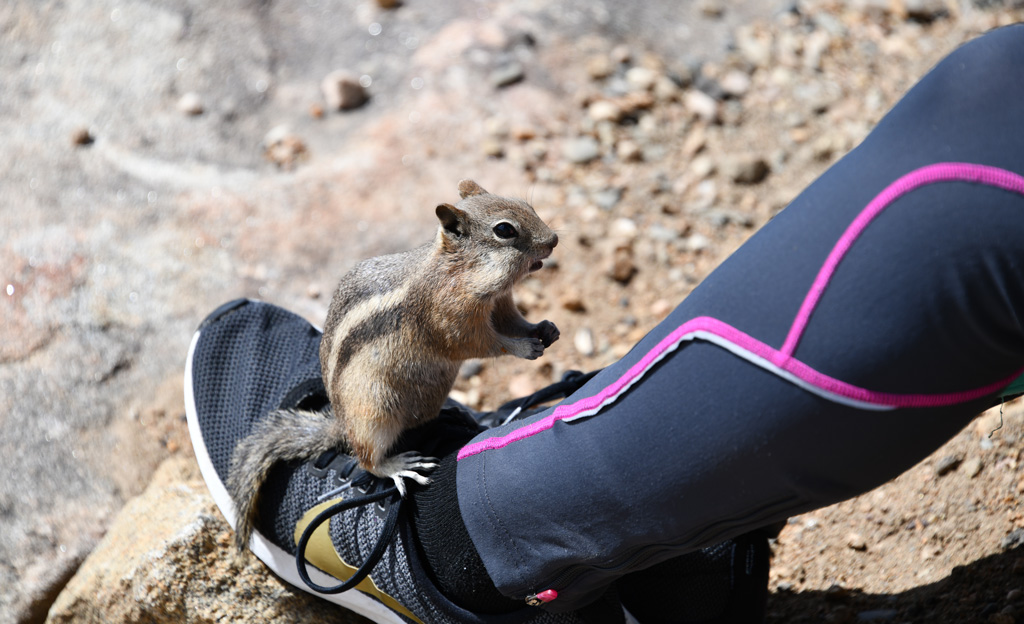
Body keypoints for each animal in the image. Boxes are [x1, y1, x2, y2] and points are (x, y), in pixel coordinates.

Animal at [227, 179, 561, 549]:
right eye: (504, 230)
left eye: (526, 205)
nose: (553, 240)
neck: (459, 271)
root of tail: (342, 425)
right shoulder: (450, 319)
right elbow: (483, 344)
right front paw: (523, 347)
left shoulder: (500, 305)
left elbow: (514, 322)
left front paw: (543, 328)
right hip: (375, 411)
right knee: (367, 460)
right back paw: (397, 466)